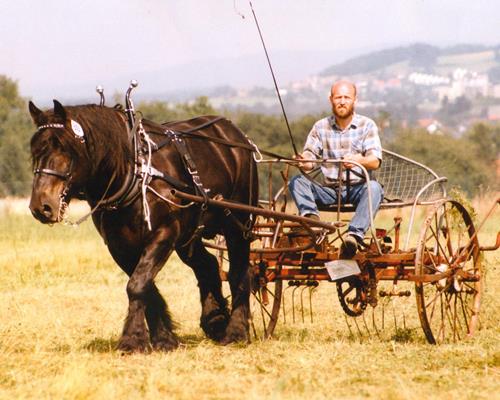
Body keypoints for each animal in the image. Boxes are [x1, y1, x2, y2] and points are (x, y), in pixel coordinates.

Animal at [28, 100, 258, 354]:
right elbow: (145, 286)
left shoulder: (164, 233)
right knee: (207, 266)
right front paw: (164, 339)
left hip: (239, 224)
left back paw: (236, 332)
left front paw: (132, 340)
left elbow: (137, 285)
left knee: (240, 272)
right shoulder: (119, 245)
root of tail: (235, 134)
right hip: (190, 235)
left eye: (66, 148)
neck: (134, 173)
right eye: (35, 151)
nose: (41, 206)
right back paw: (215, 321)